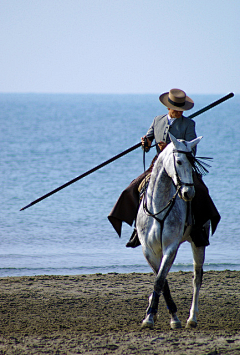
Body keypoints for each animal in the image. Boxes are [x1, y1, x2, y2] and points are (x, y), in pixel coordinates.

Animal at [137, 134, 208, 330]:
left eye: (192, 163)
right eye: (179, 161)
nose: (188, 193)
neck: (158, 206)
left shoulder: (170, 247)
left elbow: (160, 279)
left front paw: (167, 317)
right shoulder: (149, 250)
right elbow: (162, 280)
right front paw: (153, 314)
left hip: (198, 243)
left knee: (197, 278)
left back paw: (192, 318)